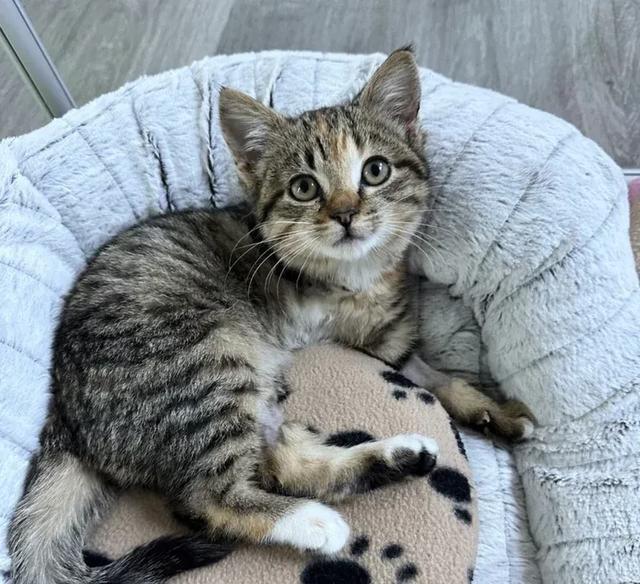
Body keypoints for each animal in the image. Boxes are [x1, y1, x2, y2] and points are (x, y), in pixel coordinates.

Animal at [8, 49, 533, 584]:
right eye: (303, 187)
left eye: (375, 170)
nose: (345, 212)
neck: (354, 276)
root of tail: (64, 414)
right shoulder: (364, 340)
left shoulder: (389, 343)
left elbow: (435, 375)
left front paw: (491, 409)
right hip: (205, 368)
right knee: (209, 499)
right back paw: (318, 523)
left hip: (250, 391)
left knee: (280, 465)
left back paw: (401, 456)